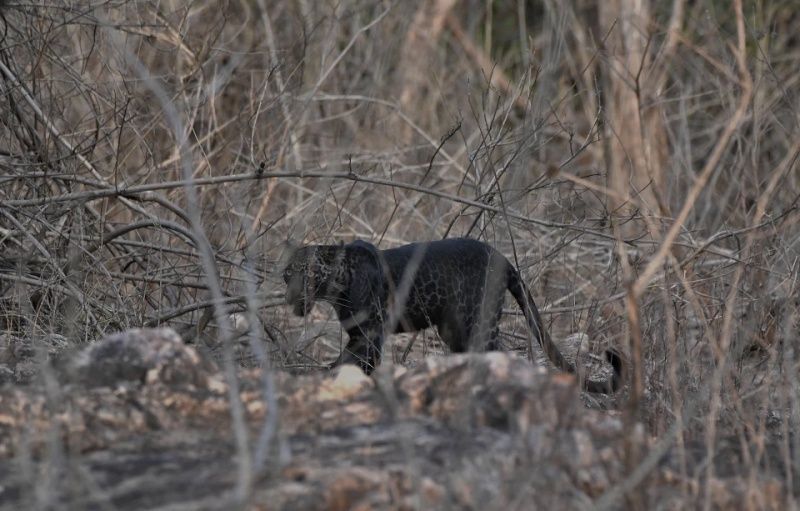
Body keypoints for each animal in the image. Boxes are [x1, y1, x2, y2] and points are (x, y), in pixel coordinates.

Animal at [284, 238, 620, 394]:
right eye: (287, 274)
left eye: (305, 272)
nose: (289, 297)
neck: (338, 284)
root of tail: (504, 258)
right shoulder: (360, 334)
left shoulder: (369, 335)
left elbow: (348, 363)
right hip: (454, 331)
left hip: (478, 323)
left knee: (498, 353)